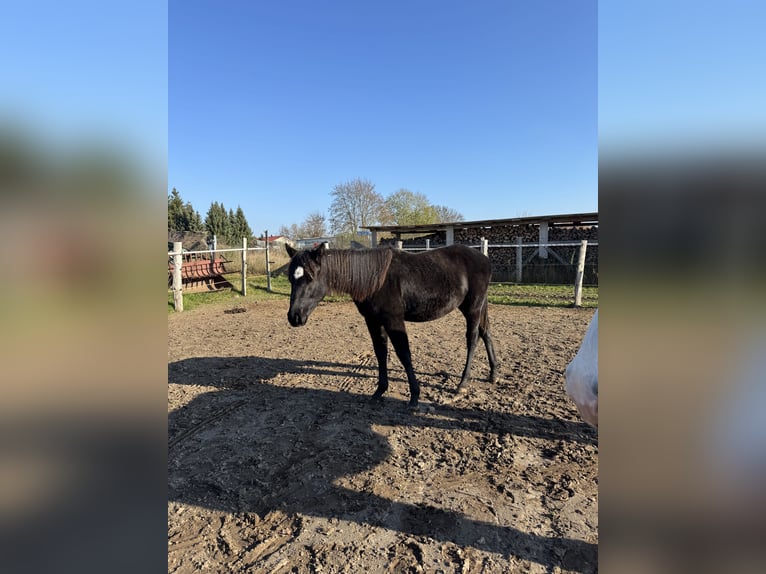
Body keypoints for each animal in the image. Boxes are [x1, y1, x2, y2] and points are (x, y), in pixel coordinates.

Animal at [285, 243, 497, 409]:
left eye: (310, 277)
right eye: (291, 279)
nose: (294, 317)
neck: (375, 280)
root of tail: (484, 259)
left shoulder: (393, 320)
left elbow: (404, 354)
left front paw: (414, 396)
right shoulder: (373, 321)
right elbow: (380, 352)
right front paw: (379, 391)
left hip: (472, 309)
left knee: (473, 339)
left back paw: (463, 383)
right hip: (479, 307)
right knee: (486, 332)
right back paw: (493, 373)